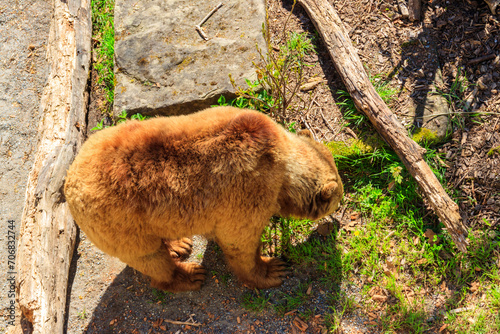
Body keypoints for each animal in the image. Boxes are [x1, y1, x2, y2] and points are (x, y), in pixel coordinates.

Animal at [63, 105, 344, 290]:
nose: (338, 222)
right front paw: (272, 269)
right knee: (149, 258)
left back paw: (179, 244)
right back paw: (188, 275)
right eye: (337, 200)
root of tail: (69, 180)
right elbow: (240, 241)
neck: (283, 172)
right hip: (117, 223)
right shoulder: (250, 189)